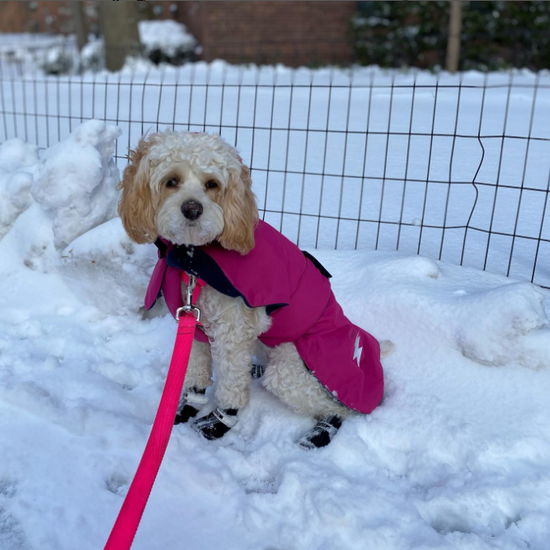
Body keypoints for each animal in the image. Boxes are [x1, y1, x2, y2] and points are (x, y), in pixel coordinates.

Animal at [118, 132, 394, 450]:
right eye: (171, 181)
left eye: (212, 184)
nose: (192, 209)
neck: (193, 260)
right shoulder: (195, 325)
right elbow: (195, 372)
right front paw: (186, 408)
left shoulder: (233, 331)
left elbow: (230, 388)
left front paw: (218, 423)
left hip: (292, 371)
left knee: (339, 409)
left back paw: (321, 431)